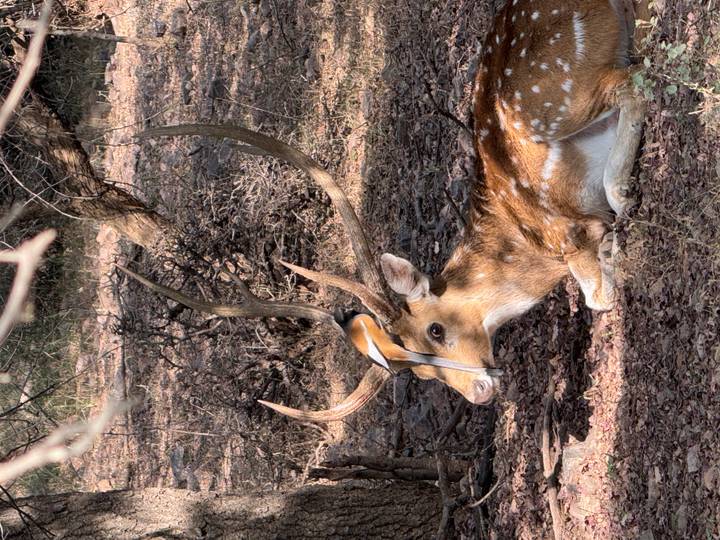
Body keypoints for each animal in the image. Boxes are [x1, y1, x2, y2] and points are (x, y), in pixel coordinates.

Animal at [119, 0, 647, 422]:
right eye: (423, 373)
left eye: (435, 329)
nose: (479, 391)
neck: (525, 246)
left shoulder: (567, 235)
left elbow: (600, 296)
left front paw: (615, 237)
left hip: (558, 101)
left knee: (631, 83)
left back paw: (622, 195)